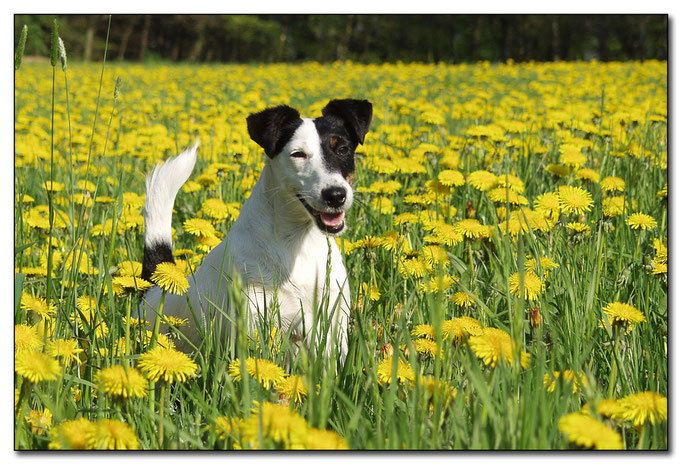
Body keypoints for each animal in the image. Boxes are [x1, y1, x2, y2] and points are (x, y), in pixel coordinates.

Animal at [138, 98, 372, 360]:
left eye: (343, 149)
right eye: (298, 154)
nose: (336, 195)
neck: (298, 242)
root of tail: (156, 284)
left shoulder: (333, 324)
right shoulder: (256, 321)